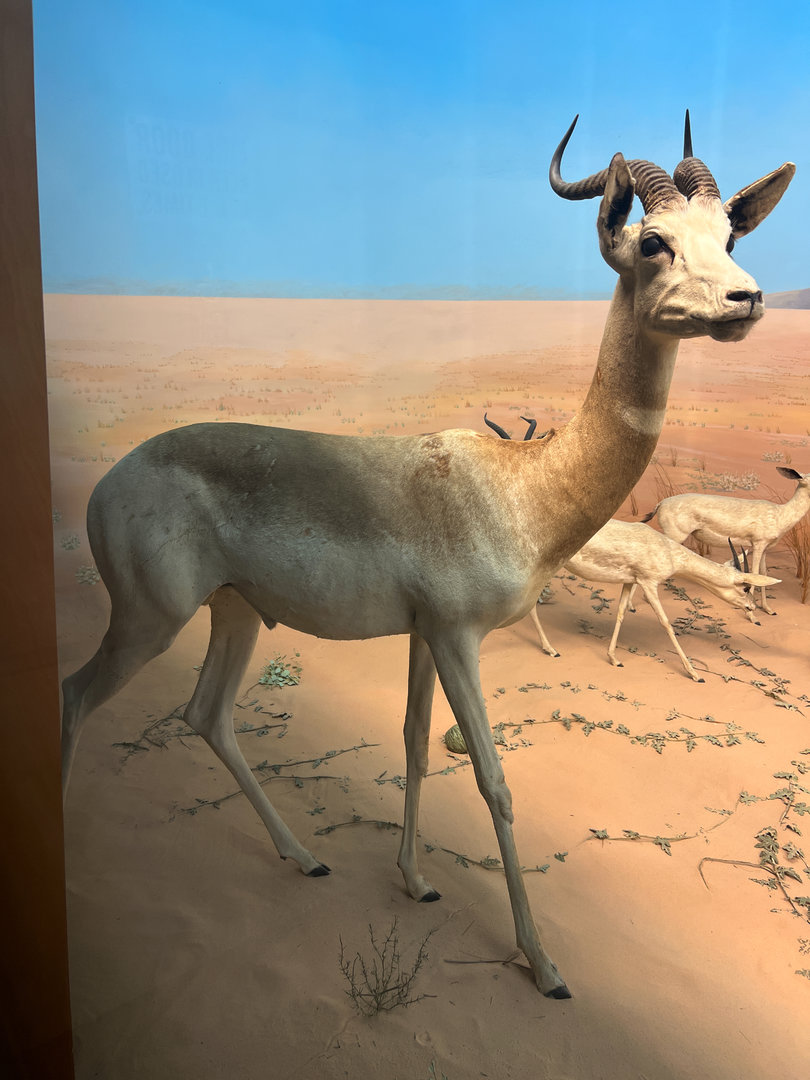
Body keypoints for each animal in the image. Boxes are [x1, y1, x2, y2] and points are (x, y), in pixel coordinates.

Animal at [643, 466, 809, 614]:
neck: (780, 514)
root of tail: (661, 503)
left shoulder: (765, 548)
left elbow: (763, 573)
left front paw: (768, 610)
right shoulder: (758, 544)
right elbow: (754, 573)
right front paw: (752, 616)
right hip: (675, 536)